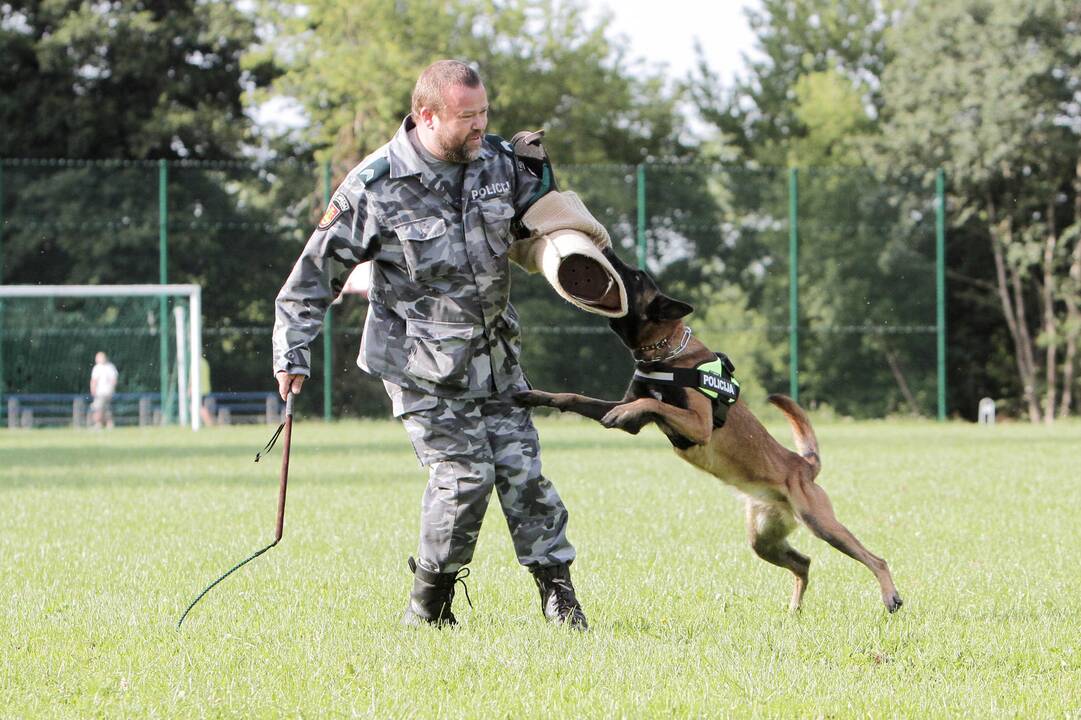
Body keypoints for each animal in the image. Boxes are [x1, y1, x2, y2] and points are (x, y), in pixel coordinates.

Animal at [514, 248, 903, 609]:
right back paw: (794, 610)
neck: (666, 353)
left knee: (875, 558)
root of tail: (803, 464)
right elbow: (576, 396)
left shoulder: (698, 424)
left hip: (820, 522)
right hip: (763, 540)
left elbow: (655, 403)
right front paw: (536, 396)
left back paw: (890, 595)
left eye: (636, 277)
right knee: (804, 563)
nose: (608, 251)